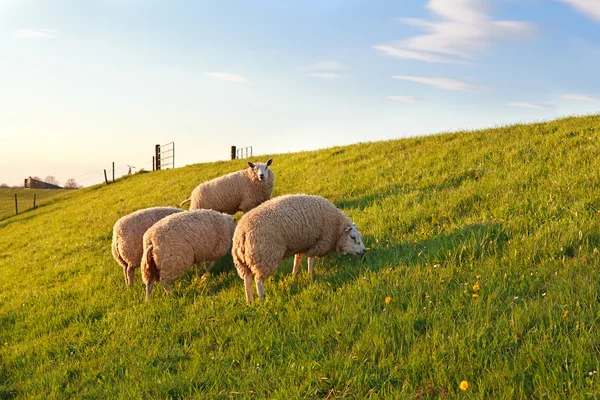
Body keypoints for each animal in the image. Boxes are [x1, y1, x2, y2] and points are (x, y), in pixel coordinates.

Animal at [231, 195, 366, 304]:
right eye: (353, 237)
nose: (364, 251)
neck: (336, 230)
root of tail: (241, 234)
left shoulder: (302, 245)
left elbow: (297, 260)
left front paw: (294, 275)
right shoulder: (318, 243)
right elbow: (310, 260)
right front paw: (310, 275)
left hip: (243, 262)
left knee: (247, 280)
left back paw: (249, 301)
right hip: (265, 256)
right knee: (258, 280)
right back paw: (262, 298)